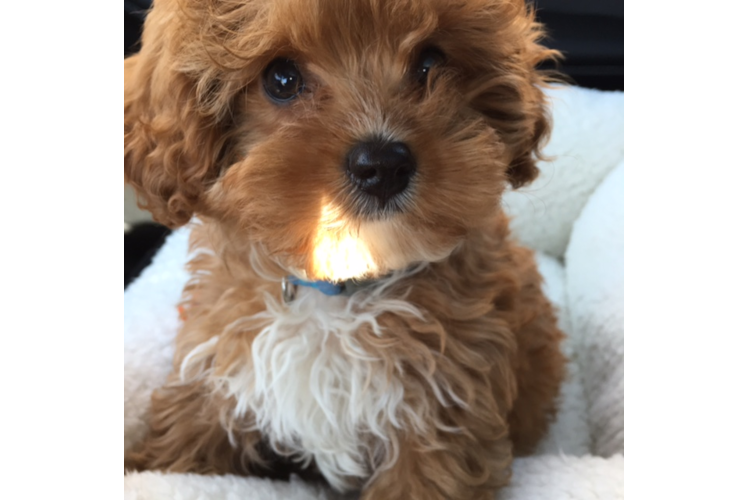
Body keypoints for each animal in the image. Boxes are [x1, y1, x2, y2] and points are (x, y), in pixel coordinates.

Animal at [124, 0, 568, 500]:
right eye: (281, 79)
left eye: (430, 62)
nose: (383, 164)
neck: (338, 287)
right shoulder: (218, 367)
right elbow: (182, 443)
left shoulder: (442, 413)